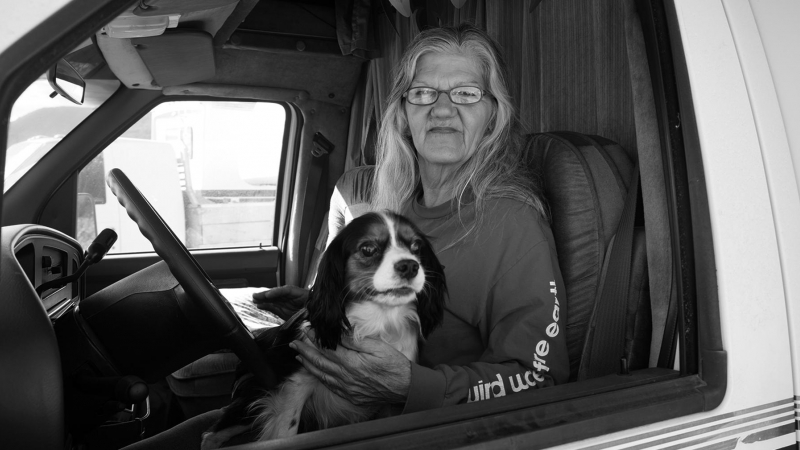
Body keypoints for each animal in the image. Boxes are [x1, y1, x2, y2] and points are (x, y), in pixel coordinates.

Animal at [200, 213, 446, 448]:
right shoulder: (296, 383)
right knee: (212, 434)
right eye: (368, 249)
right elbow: (285, 430)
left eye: (416, 247)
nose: (410, 266)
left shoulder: (389, 401)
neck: (378, 319)